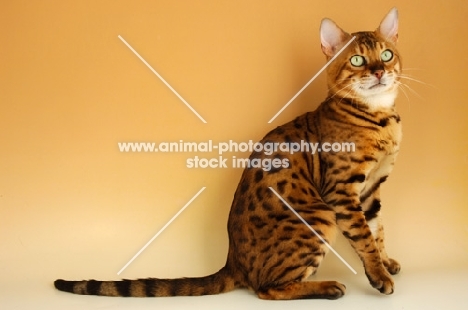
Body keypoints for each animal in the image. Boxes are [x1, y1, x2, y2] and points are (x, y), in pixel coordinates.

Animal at [54, 6, 402, 298]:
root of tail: (232, 261)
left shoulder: (371, 188)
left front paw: (387, 263)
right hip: (319, 215)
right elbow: (364, 236)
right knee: (267, 289)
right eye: (357, 60)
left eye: (387, 55)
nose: (379, 72)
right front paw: (379, 276)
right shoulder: (342, 189)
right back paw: (327, 287)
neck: (381, 118)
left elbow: (378, 230)